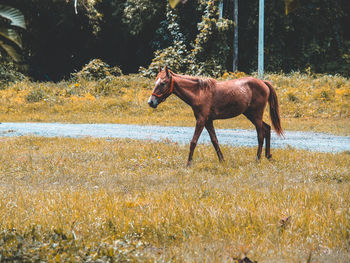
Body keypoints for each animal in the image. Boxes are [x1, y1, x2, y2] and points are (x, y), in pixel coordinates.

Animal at [148, 67, 284, 166]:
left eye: (163, 83)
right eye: (156, 82)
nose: (151, 102)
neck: (199, 93)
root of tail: (263, 83)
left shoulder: (201, 120)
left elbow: (193, 141)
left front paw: (188, 164)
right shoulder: (208, 121)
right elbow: (215, 141)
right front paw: (222, 160)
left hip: (256, 115)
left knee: (260, 135)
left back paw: (257, 159)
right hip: (251, 115)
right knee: (267, 128)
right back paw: (268, 156)